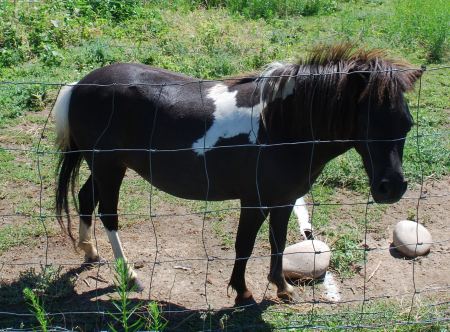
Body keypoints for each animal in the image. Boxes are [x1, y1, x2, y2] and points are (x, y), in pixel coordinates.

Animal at [55, 44, 422, 306]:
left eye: (406, 124)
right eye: (369, 124)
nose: (391, 188)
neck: (282, 125)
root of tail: (80, 86)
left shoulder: (283, 200)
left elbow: (276, 242)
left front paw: (283, 288)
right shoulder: (254, 201)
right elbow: (244, 245)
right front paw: (242, 292)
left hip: (104, 167)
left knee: (85, 199)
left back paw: (90, 252)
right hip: (109, 167)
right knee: (109, 215)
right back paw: (129, 275)